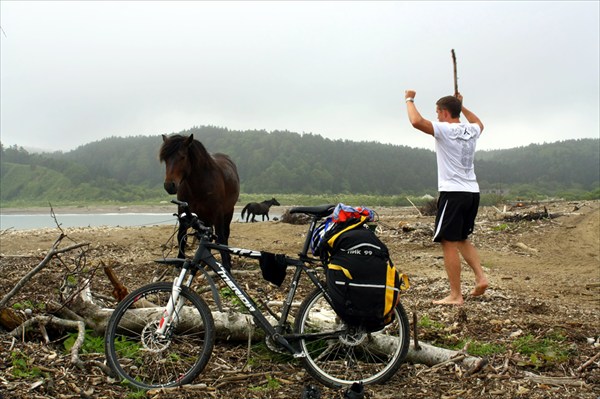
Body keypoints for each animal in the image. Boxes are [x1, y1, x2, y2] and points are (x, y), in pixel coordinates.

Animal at [158, 135, 240, 272]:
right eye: (165, 159)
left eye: (182, 157)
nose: (169, 185)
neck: (199, 184)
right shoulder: (184, 211)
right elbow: (181, 236)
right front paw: (179, 262)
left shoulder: (218, 212)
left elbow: (221, 237)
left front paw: (226, 265)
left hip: (228, 211)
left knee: (225, 235)